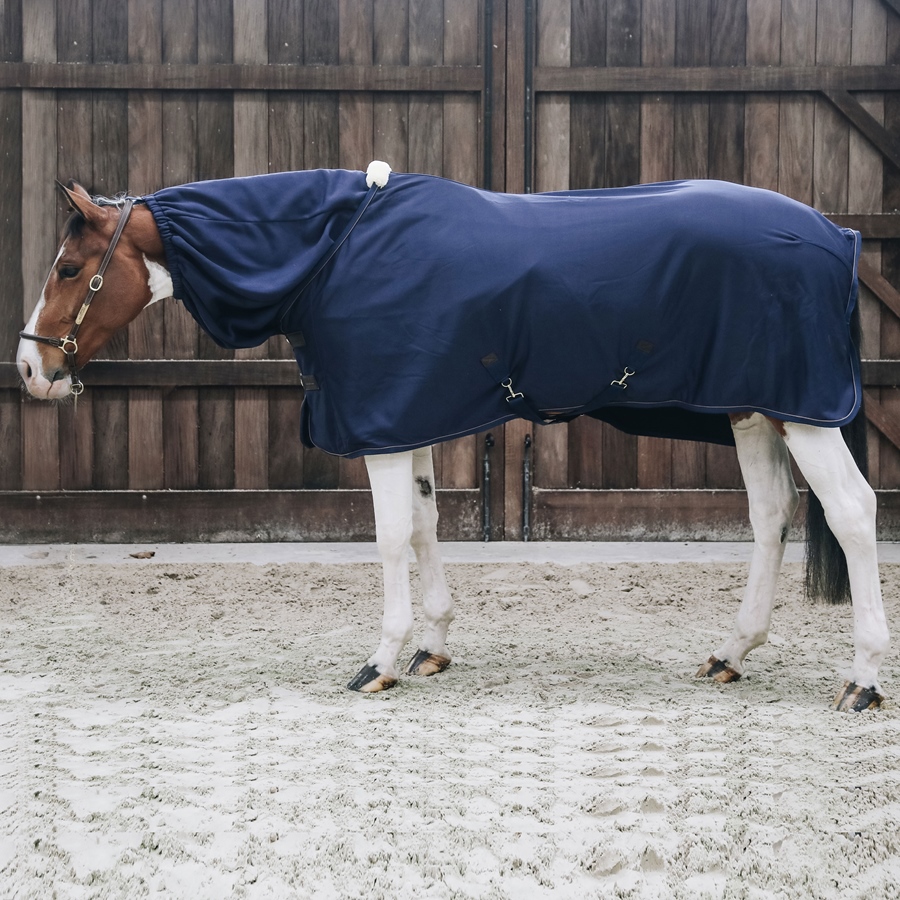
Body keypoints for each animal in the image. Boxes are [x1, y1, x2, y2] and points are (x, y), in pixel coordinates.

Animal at [16, 162, 889, 711]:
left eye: (70, 269)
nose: (31, 368)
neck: (336, 248)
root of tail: (835, 235)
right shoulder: (413, 418)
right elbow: (428, 523)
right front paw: (431, 648)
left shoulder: (383, 425)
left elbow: (390, 534)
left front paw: (380, 661)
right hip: (756, 411)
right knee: (772, 517)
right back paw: (731, 655)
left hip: (803, 415)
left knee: (852, 514)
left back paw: (863, 679)